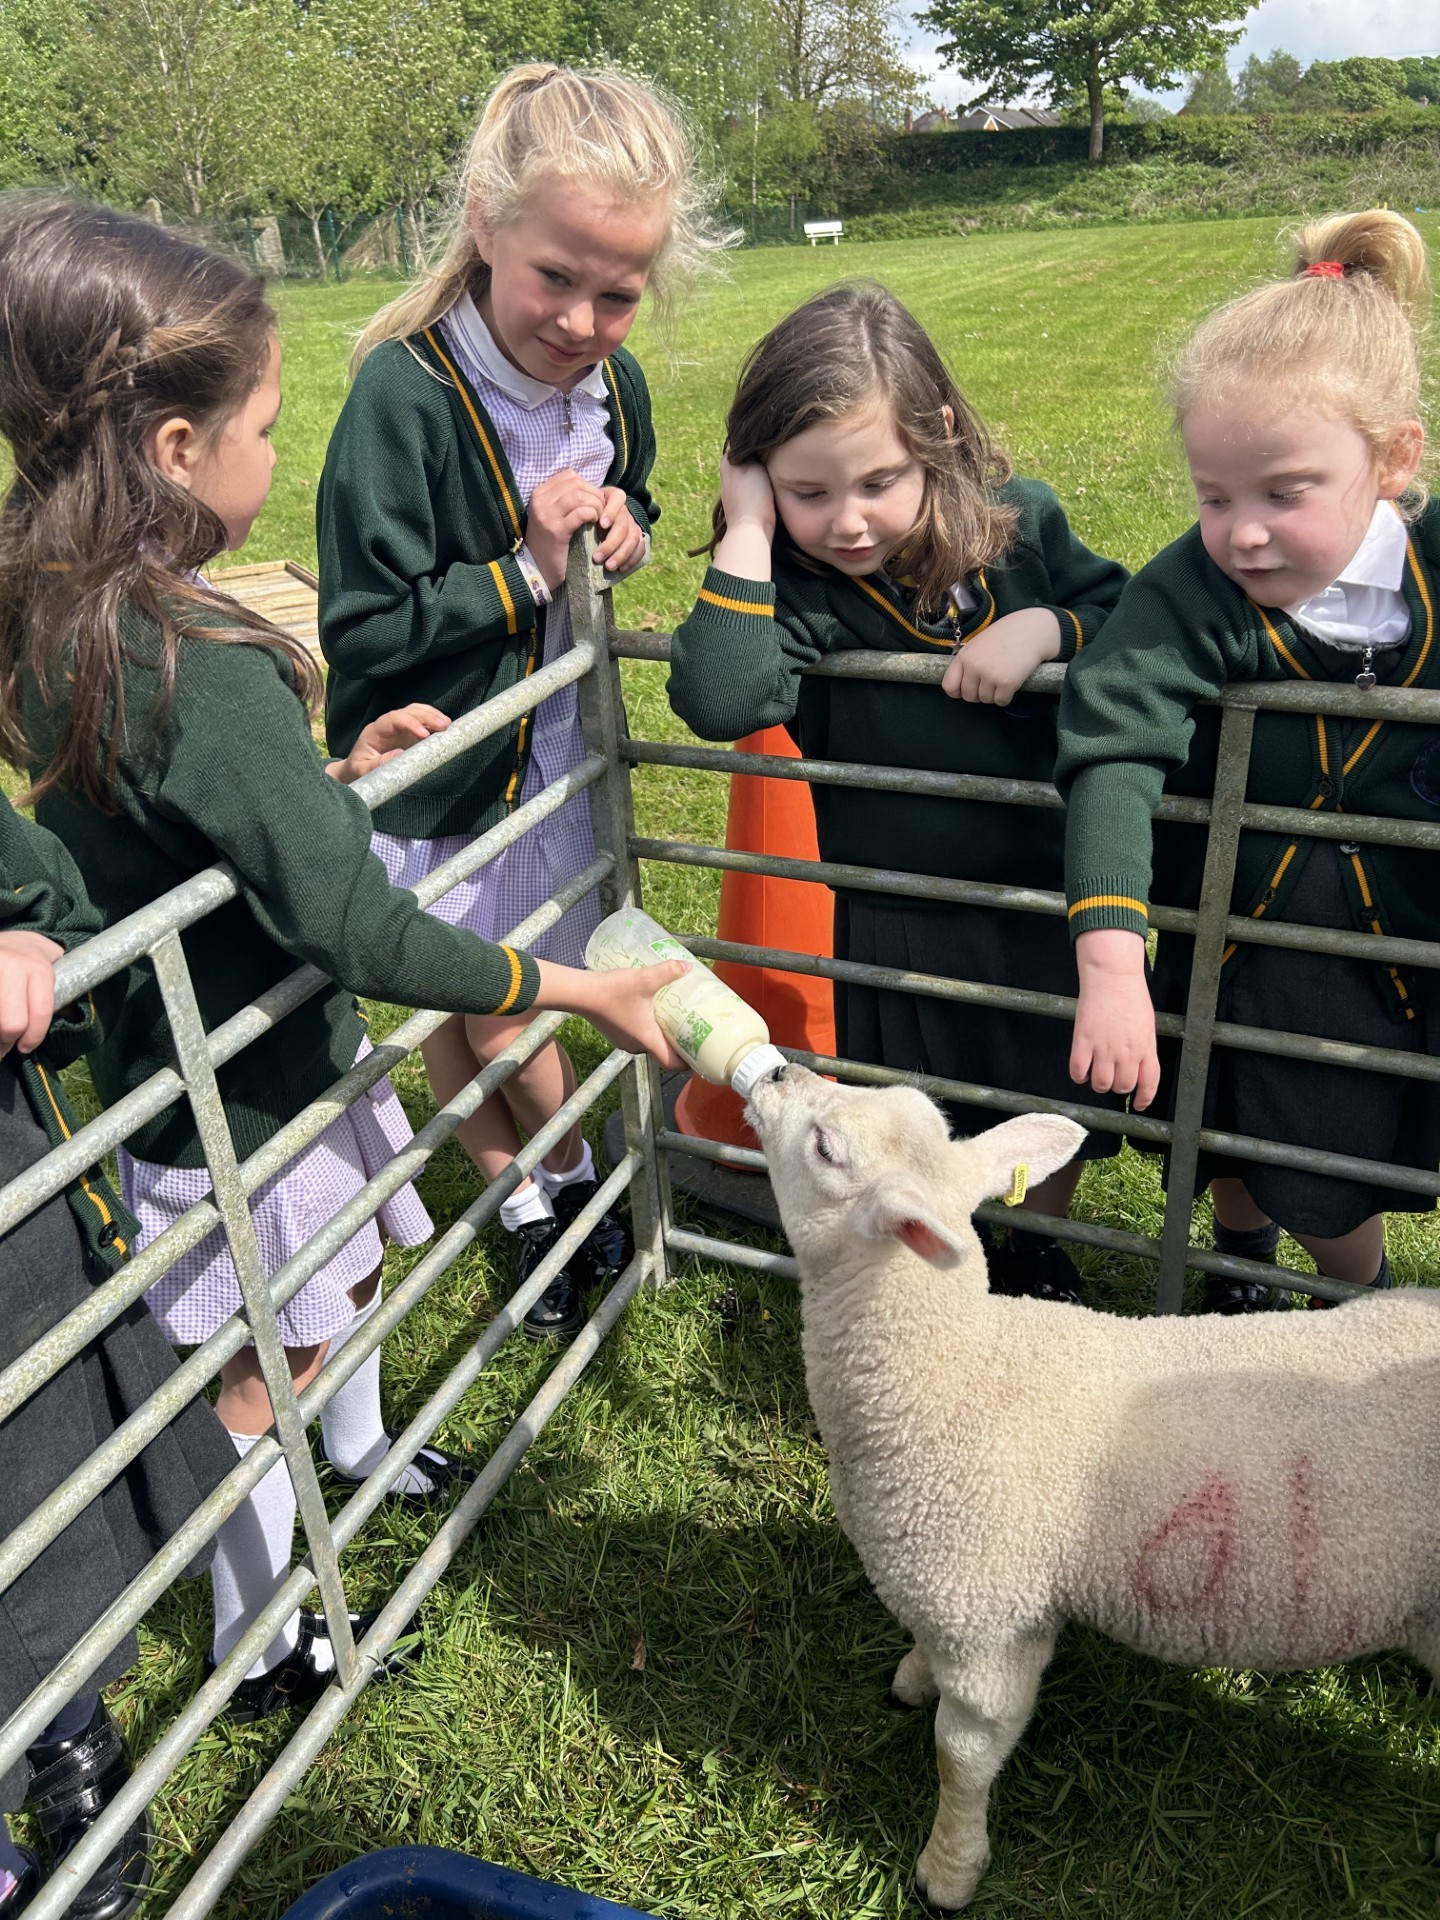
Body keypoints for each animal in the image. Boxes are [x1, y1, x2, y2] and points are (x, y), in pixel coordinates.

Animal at [743, 1063, 1440, 1912]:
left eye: (826, 1147)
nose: (778, 1069)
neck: (951, 1369)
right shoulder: (956, 1596)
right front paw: (912, 1677)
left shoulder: (991, 1618)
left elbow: (960, 1756)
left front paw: (949, 1869)